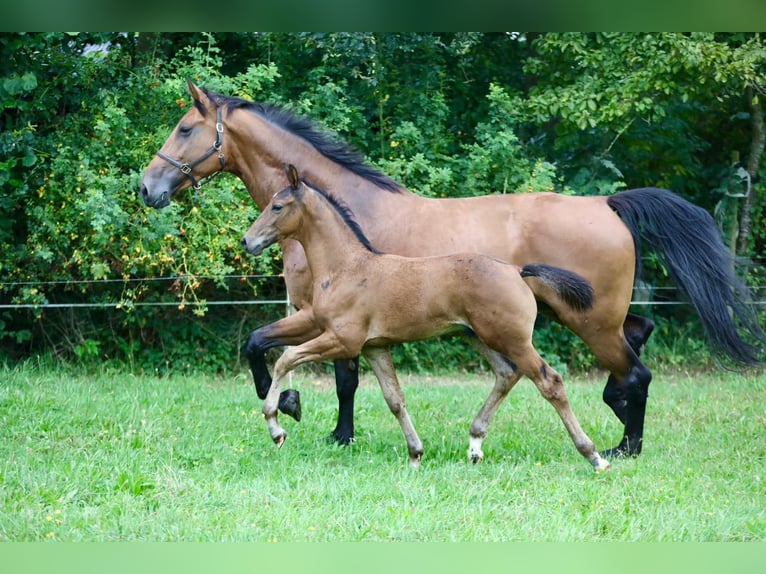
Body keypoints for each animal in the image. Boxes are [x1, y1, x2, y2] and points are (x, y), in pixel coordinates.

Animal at [243, 165, 608, 472]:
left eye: (278, 206)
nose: (248, 241)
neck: (346, 268)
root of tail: (517, 271)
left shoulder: (343, 341)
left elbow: (286, 359)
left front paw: (276, 425)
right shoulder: (374, 347)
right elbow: (395, 399)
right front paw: (415, 453)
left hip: (511, 339)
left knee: (550, 382)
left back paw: (593, 455)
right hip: (477, 336)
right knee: (507, 373)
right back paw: (475, 444)